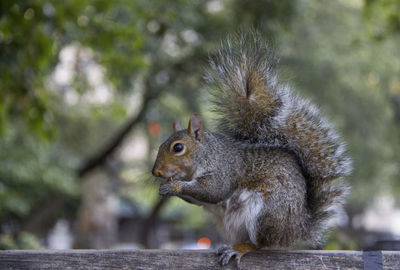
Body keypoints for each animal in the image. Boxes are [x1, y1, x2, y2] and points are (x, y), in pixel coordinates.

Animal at [152, 30, 352, 266]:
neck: (207, 154)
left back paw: (240, 249)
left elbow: (213, 191)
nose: (156, 172)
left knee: (262, 244)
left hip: (265, 214)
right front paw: (166, 187)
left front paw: (175, 186)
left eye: (178, 148)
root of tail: (298, 229)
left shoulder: (224, 169)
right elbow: (201, 198)